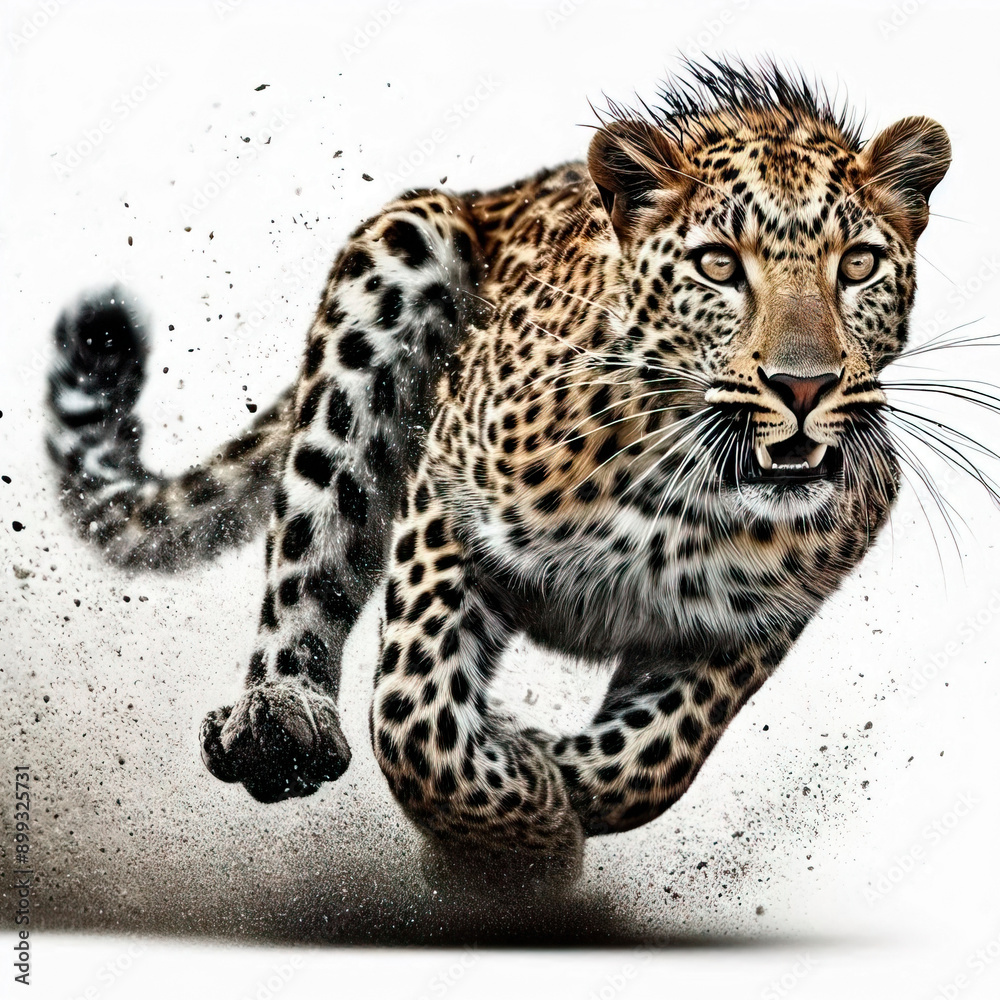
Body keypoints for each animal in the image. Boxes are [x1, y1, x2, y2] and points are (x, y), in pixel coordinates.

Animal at [47, 58, 951, 888]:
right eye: (720, 266)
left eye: (859, 265)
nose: (804, 386)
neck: (689, 491)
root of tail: (502, 191)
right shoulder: (449, 502)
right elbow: (415, 715)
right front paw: (528, 828)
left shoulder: (752, 623)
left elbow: (655, 758)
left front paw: (535, 765)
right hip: (397, 258)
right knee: (310, 550)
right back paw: (280, 717)